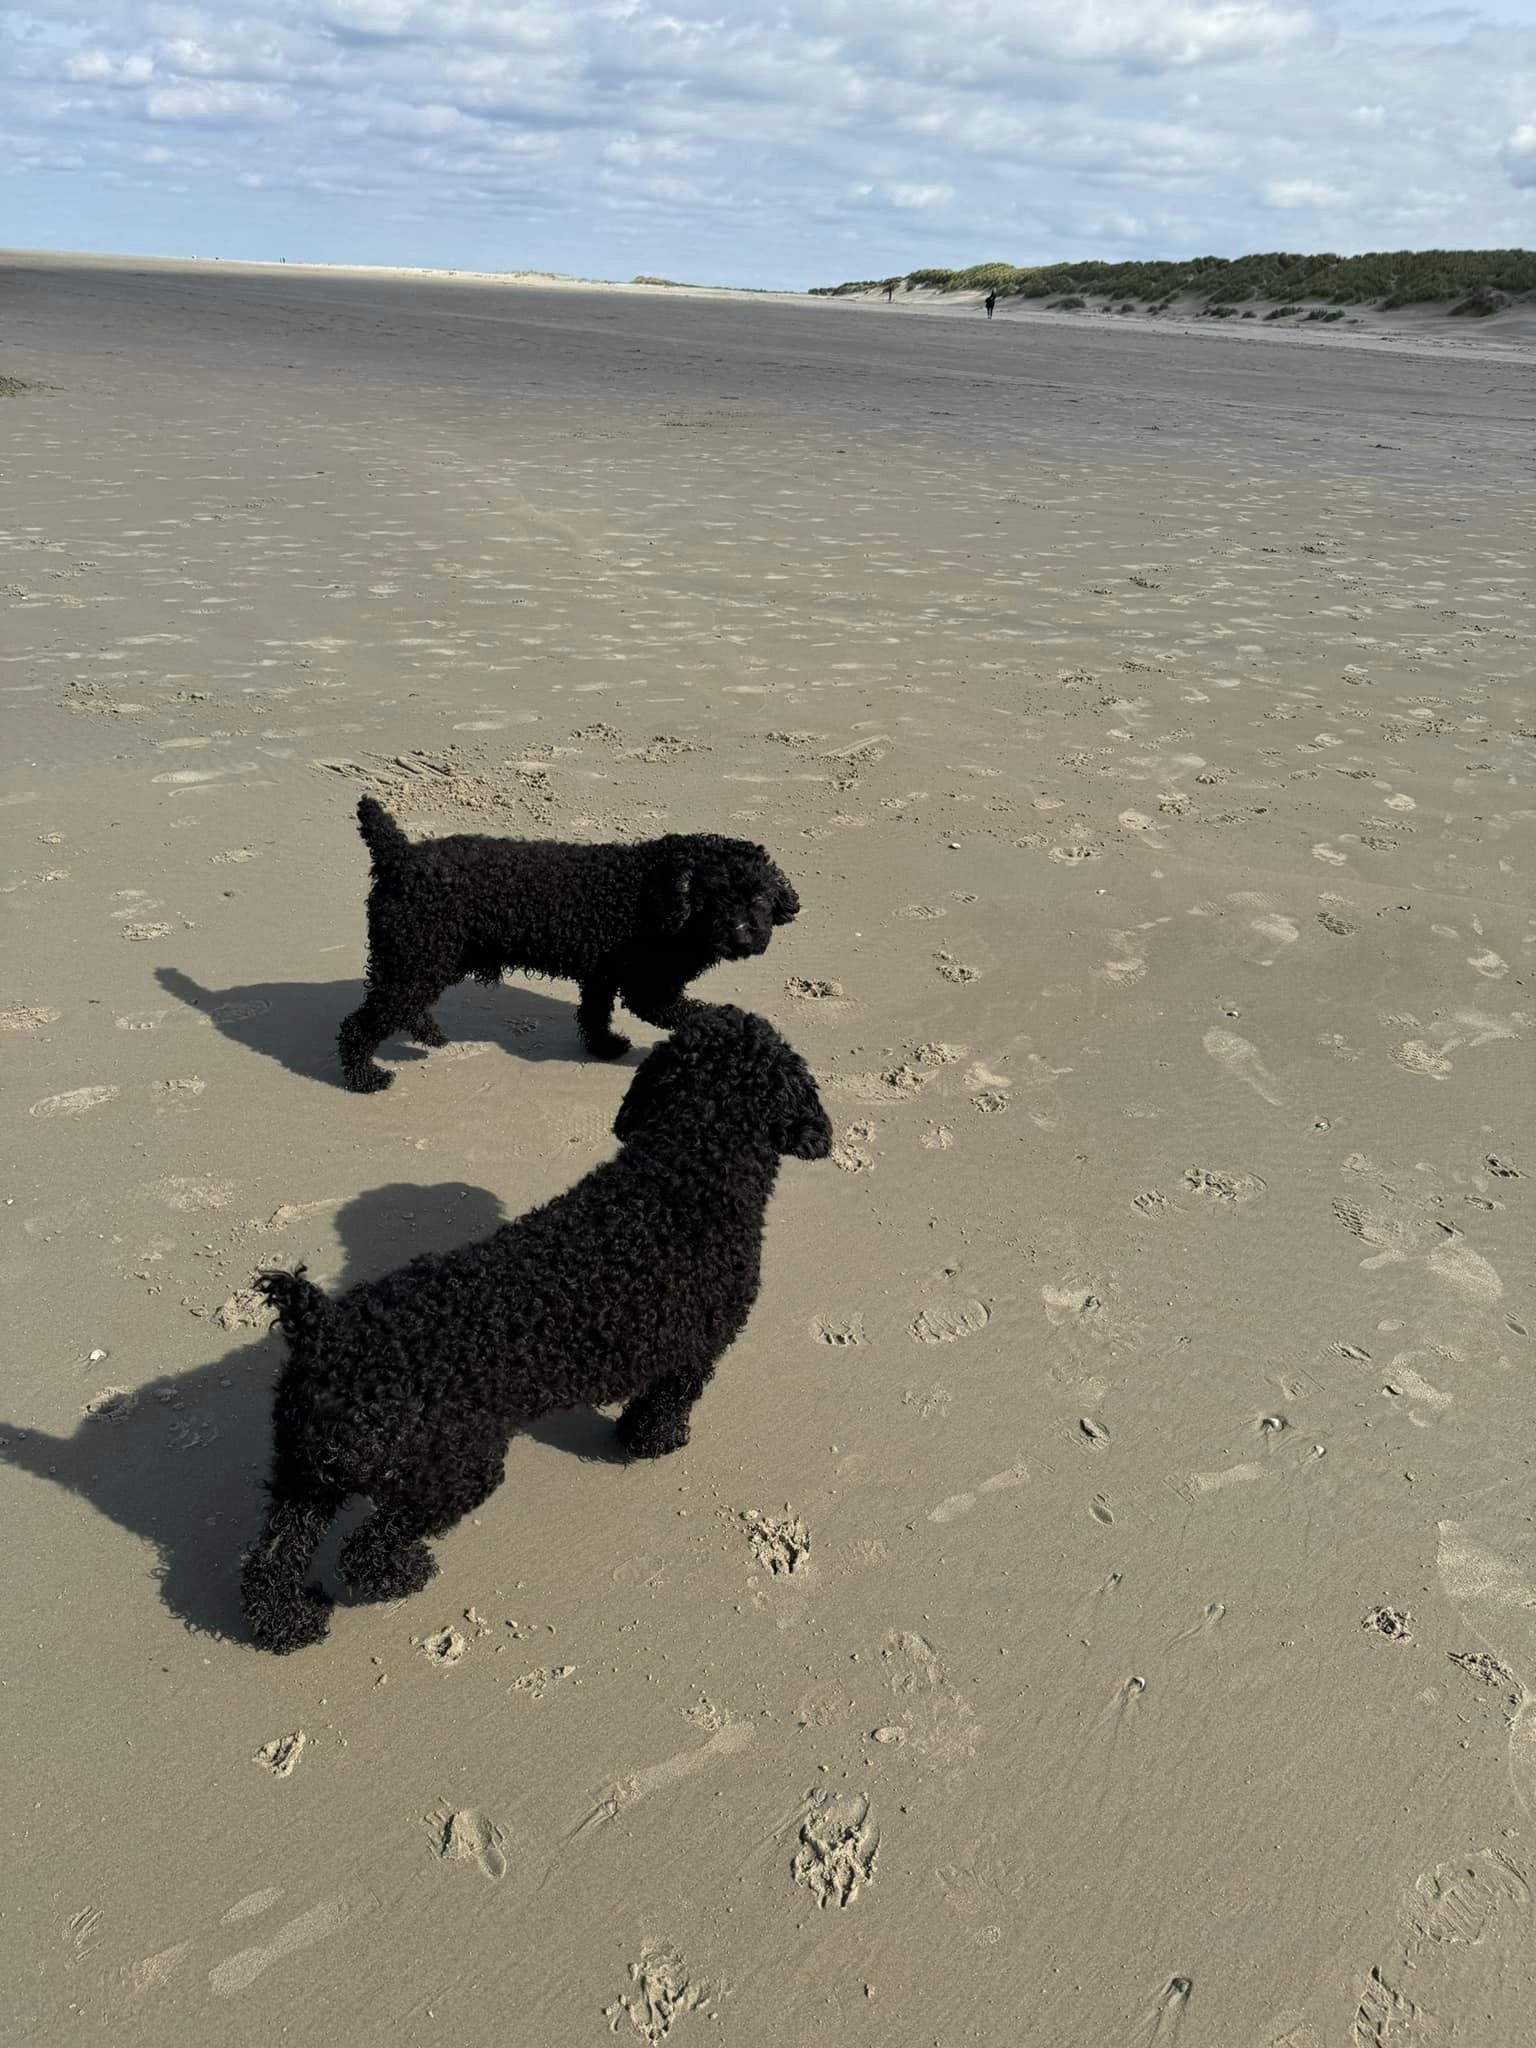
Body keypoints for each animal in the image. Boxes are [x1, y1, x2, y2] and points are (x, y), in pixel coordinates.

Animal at [241, 999, 835, 1654]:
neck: (685, 1172)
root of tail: (322, 1329)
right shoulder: (693, 1355)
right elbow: (664, 1406)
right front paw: (655, 1443)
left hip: (305, 1475)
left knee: (272, 1560)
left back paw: (289, 1624)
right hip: (451, 1471)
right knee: (367, 1552)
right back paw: (407, 1572)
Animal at [331, 794, 798, 1089]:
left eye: (759, 897)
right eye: (717, 898)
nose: (744, 937)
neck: (661, 894)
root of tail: (399, 856)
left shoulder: (602, 977)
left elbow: (593, 1015)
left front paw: (604, 1047)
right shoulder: (648, 990)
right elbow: (691, 1012)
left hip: (428, 959)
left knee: (401, 1006)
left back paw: (425, 1033)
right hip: (417, 957)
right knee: (360, 1023)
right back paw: (364, 1077)